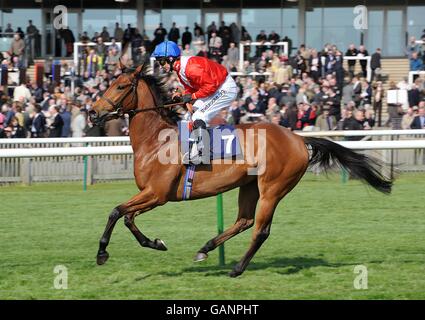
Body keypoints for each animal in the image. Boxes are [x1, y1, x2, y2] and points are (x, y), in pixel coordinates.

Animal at [90, 63, 390, 278]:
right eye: (111, 83)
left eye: (121, 86)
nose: (93, 112)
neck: (157, 140)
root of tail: (298, 139)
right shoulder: (151, 195)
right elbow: (128, 218)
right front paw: (156, 243)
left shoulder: (157, 194)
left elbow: (115, 211)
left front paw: (102, 253)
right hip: (248, 185)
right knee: (244, 221)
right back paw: (205, 249)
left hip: (272, 189)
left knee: (260, 230)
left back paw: (236, 268)